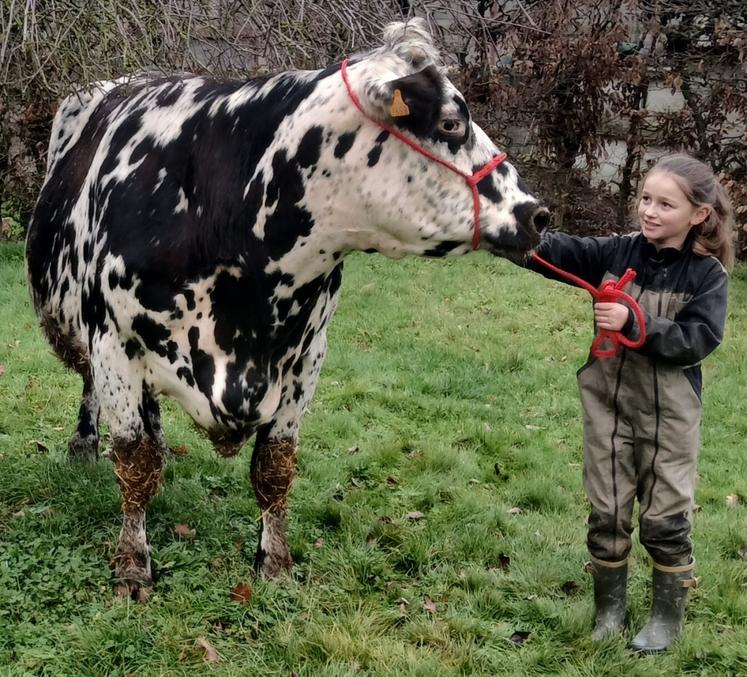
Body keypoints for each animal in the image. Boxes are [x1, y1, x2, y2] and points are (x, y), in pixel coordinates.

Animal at [26, 19, 549, 600]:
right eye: (452, 122)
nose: (537, 214)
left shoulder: (306, 357)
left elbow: (274, 468)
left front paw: (274, 563)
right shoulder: (114, 341)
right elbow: (134, 464)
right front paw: (133, 566)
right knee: (97, 395)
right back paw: (84, 446)